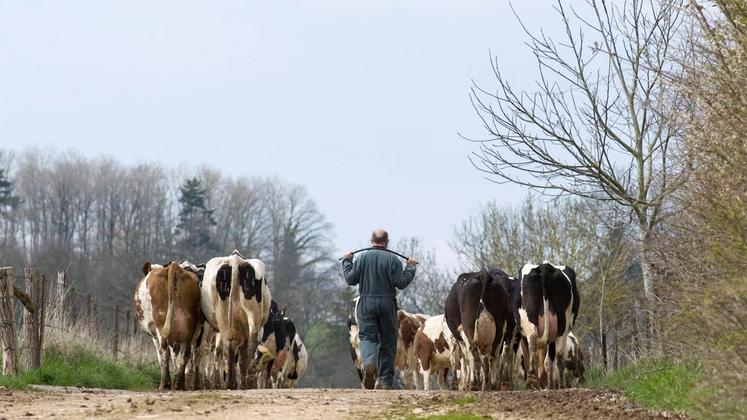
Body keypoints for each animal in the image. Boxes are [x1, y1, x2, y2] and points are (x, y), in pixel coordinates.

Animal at [134, 262, 203, 390]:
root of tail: (173, 267)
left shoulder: (154, 335)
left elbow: (161, 356)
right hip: (189, 326)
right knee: (186, 354)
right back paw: (180, 384)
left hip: (161, 323)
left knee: (165, 352)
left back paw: (165, 384)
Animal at [199, 249, 272, 390]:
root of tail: (235, 261)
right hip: (251, 314)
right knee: (250, 340)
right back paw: (247, 380)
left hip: (224, 315)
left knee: (230, 344)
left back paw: (233, 382)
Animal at [516, 260, 580, 388]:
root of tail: (544, 266)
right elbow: (549, 358)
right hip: (562, 323)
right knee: (558, 354)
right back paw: (558, 384)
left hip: (530, 319)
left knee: (532, 344)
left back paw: (533, 381)